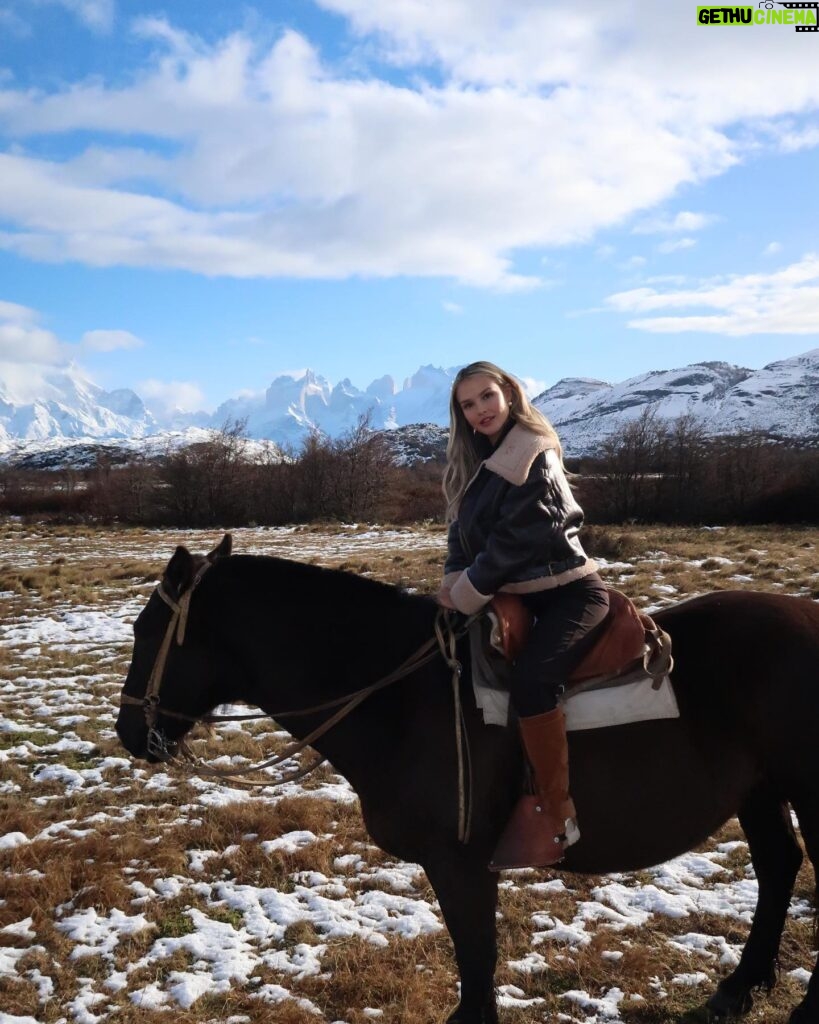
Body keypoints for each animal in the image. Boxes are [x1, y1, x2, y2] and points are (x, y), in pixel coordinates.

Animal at [115, 536, 818, 1024]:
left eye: (147, 630)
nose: (127, 732)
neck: (398, 696)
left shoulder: (460, 863)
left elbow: (476, 960)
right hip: (759, 792)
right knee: (778, 866)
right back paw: (740, 988)